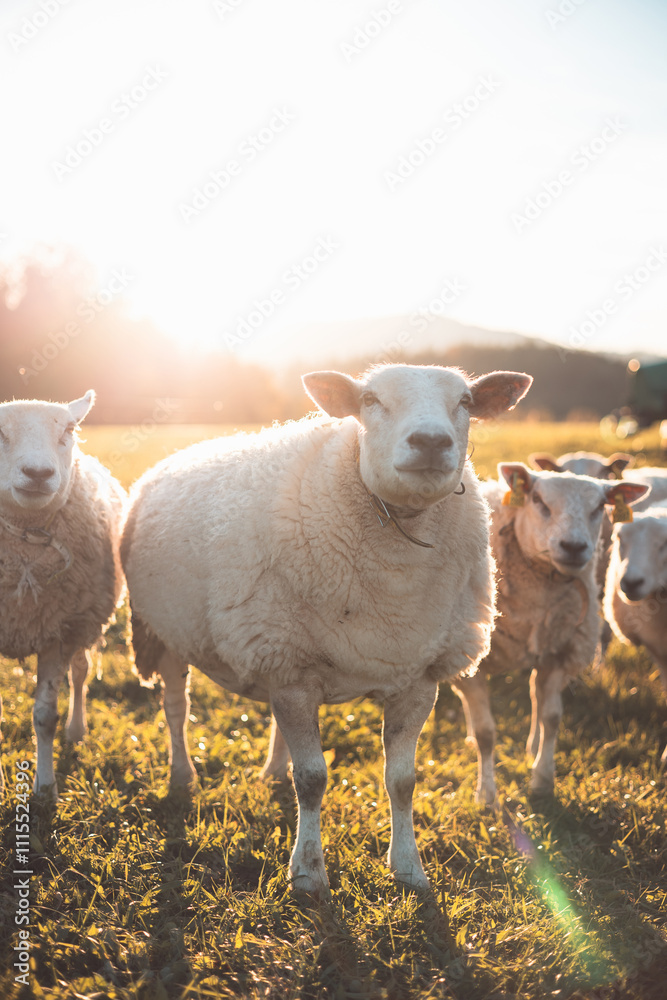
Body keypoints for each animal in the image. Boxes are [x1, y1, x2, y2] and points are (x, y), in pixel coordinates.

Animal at [0, 391, 126, 796]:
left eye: (69, 430)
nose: (38, 474)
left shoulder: (55, 631)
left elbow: (45, 716)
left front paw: (45, 788)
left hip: (82, 622)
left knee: (81, 672)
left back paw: (77, 729)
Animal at [121, 363, 532, 896]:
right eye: (370, 400)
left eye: (465, 401)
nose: (430, 442)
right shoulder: (293, 670)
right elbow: (313, 779)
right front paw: (308, 874)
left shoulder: (414, 676)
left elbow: (402, 782)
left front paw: (409, 869)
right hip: (169, 632)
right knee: (176, 709)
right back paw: (181, 776)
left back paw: (271, 771)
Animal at [451, 463, 650, 803]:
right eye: (537, 499)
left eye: (601, 506)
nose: (574, 547)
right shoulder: (474, 661)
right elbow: (485, 732)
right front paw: (487, 796)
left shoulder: (560, 652)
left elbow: (552, 716)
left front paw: (542, 780)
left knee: (535, 692)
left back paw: (531, 748)